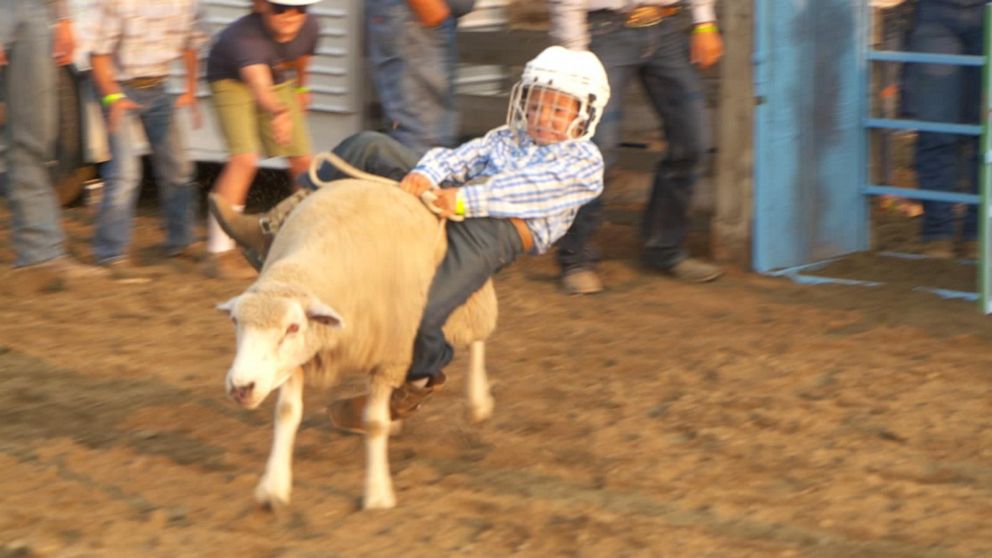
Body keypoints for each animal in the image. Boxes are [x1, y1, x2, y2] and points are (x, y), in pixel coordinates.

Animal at [216, 179, 496, 512]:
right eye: (235, 321)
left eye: (293, 327)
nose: (240, 387)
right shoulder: (299, 359)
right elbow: (286, 413)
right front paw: (273, 486)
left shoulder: (388, 358)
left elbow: (374, 424)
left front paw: (377, 494)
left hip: (464, 298)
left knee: (477, 339)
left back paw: (477, 401)